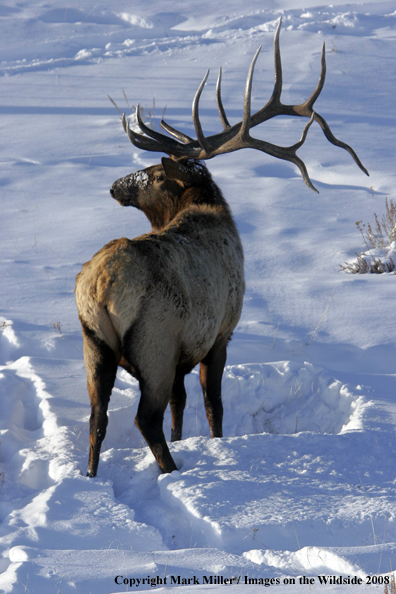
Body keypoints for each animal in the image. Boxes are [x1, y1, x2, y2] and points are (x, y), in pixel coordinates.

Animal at [76, 19, 368, 476]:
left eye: (155, 173)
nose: (115, 184)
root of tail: (100, 289)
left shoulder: (185, 349)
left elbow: (180, 404)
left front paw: (187, 439)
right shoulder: (219, 334)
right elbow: (214, 404)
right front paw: (216, 445)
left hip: (94, 344)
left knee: (97, 418)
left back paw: (91, 476)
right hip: (155, 341)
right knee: (145, 418)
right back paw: (173, 471)